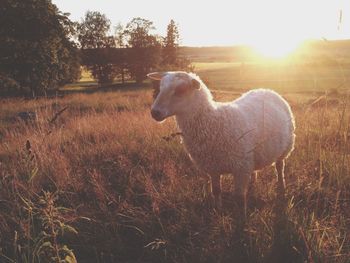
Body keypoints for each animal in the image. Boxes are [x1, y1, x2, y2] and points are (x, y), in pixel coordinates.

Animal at [148, 71, 296, 216]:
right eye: (160, 87)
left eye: (181, 90)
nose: (154, 112)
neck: (213, 121)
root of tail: (266, 89)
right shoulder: (214, 167)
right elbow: (216, 191)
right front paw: (217, 211)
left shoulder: (240, 168)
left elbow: (239, 199)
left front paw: (240, 219)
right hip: (252, 157)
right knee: (255, 171)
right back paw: (253, 185)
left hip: (286, 148)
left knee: (279, 168)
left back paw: (281, 188)